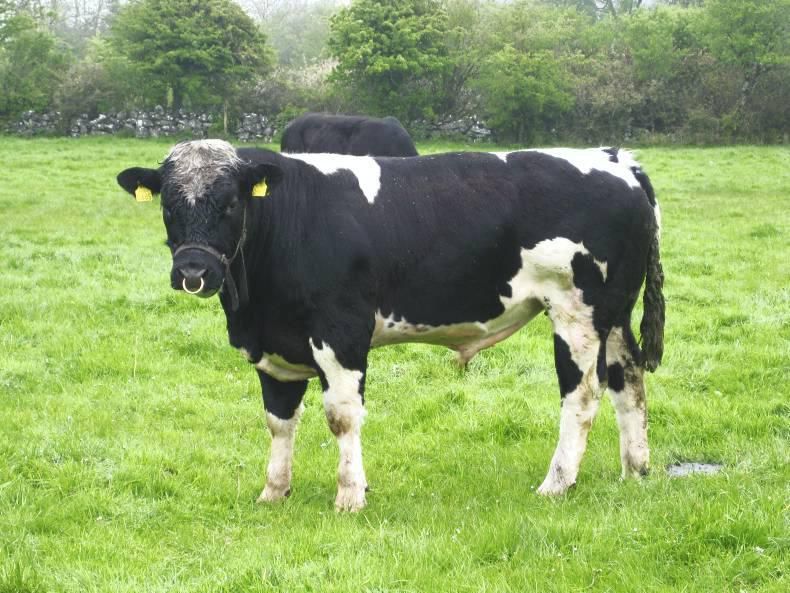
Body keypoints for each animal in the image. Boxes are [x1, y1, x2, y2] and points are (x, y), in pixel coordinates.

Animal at [116, 140, 665, 512]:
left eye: (231, 202)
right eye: (169, 205)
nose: (194, 272)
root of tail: (615, 159)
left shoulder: (340, 332)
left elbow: (341, 417)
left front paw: (349, 495)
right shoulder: (274, 347)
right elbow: (279, 420)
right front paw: (274, 492)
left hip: (577, 312)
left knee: (583, 394)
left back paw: (557, 483)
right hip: (614, 315)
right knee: (629, 381)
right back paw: (635, 470)